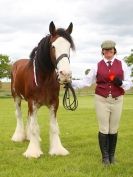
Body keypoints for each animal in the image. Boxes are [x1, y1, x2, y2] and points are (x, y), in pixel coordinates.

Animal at [10, 21, 75, 158]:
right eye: (53, 46)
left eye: (69, 47)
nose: (65, 74)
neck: (44, 79)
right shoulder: (33, 102)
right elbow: (34, 126)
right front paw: (33, 152)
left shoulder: (54, 103)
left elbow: (53, 127)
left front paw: (58, 150)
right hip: (16, 97)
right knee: (19, 115)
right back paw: (18, 136)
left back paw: (29, 137)